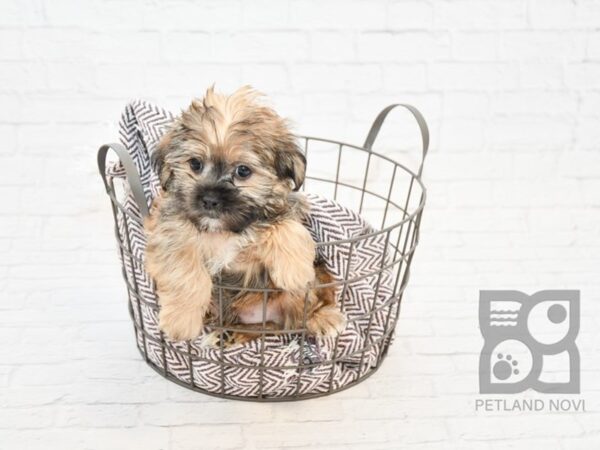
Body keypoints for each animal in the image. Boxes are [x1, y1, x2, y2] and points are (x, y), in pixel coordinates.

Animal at [142, 86, 344, 342]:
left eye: (243, 171)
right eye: (195, 164)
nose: (210, 200)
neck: (224, 231)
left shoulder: (287, 209)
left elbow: (285, 226)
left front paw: (296, 271)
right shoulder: (170, 234)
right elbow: (184, 273)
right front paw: (181, 321)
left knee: (304, 307)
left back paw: (321, 317)